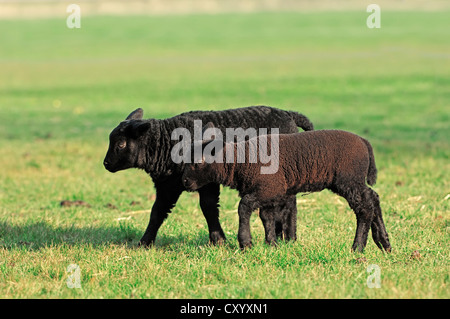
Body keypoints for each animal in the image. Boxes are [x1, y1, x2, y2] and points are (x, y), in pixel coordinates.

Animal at [103, 106, 312, 246]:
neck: (166, 143)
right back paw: (279, 237)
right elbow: (157, 212)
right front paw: (144, 243)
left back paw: (289, 238)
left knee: (290, 204)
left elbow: (208, 207)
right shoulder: (167, 186)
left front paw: (218, 240)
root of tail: (288, 114)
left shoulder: (206, 182)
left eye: (121, 144)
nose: (105, 163)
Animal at [181, 129, 392, 254]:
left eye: (198, 162)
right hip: (352, 181)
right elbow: (266, 217)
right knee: (373, 198)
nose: (184, 182)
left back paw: (358, 247)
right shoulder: (270, 192)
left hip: (348, 179)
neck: (240, 162)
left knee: (364, 207)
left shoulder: (266, 188)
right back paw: (384, 243)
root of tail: (364, 142)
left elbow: (244, 208)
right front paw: (271, 244)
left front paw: (246, 243)